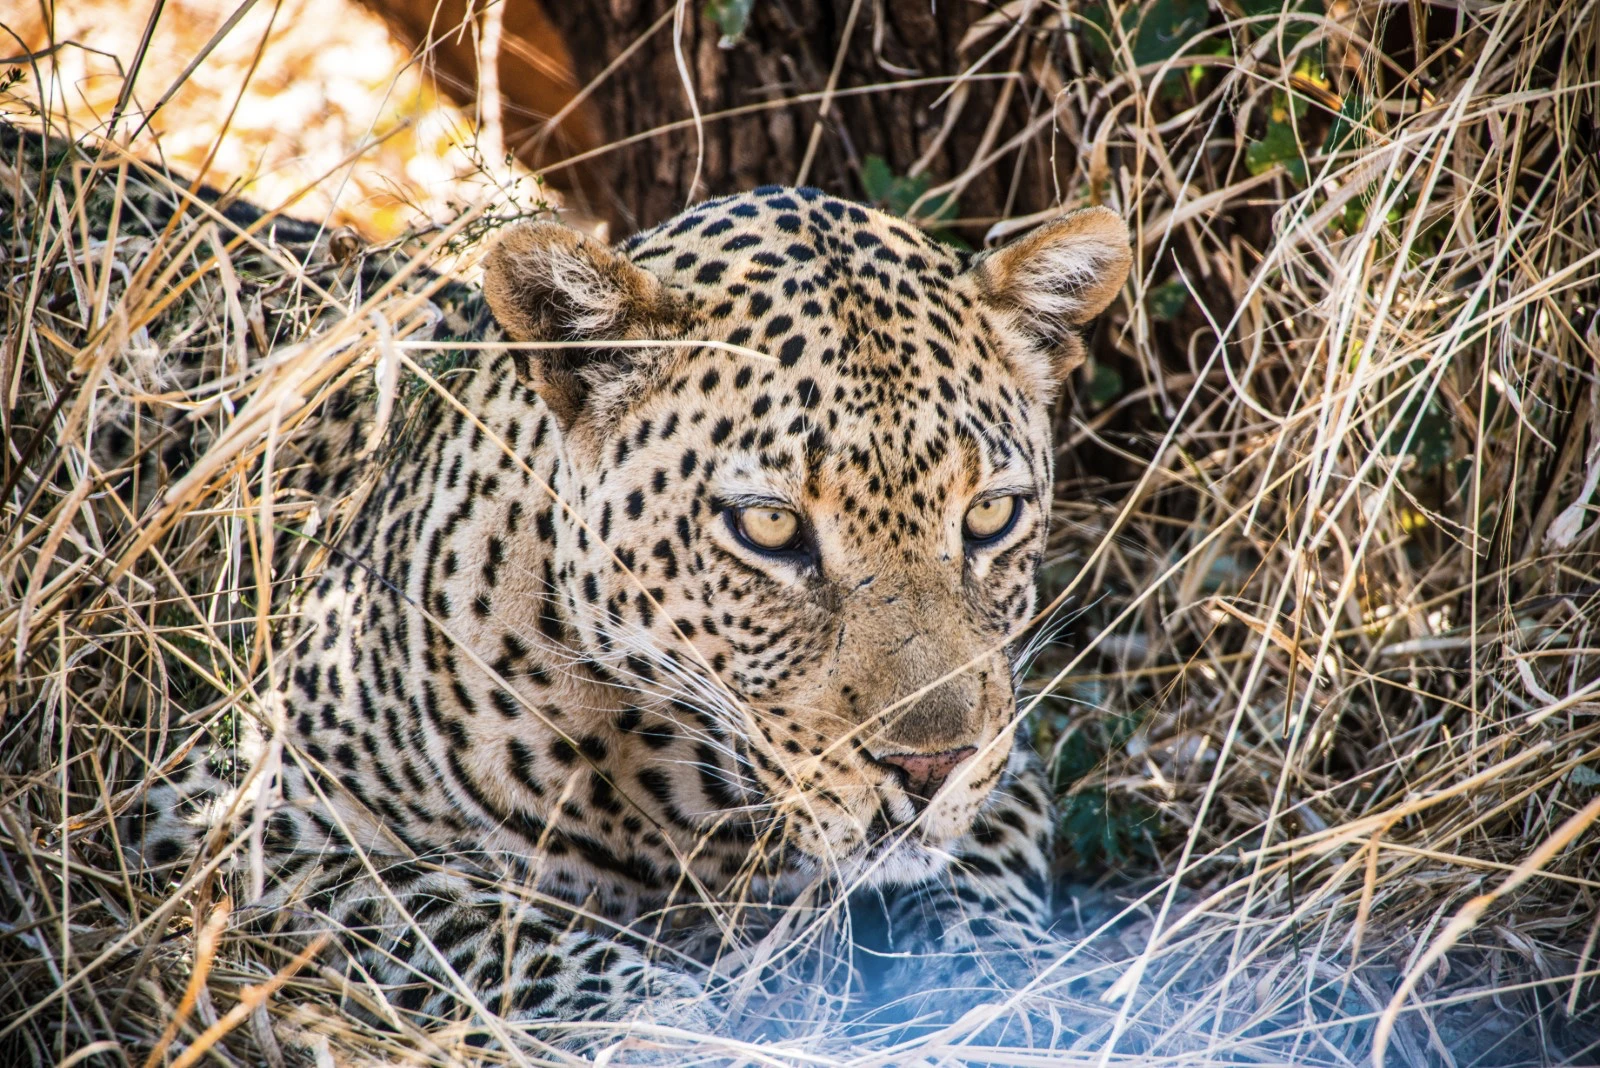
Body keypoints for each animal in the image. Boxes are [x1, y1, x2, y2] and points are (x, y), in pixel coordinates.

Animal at [122, 183, 1132, 1054]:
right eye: (770, 527)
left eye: (990, 515)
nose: (929, 768)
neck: (683, 793)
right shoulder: (234, 806)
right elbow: (483, 930)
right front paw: (691, 1029)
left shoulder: (1008, 760)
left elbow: (982, 893)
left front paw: (1014, 1003)